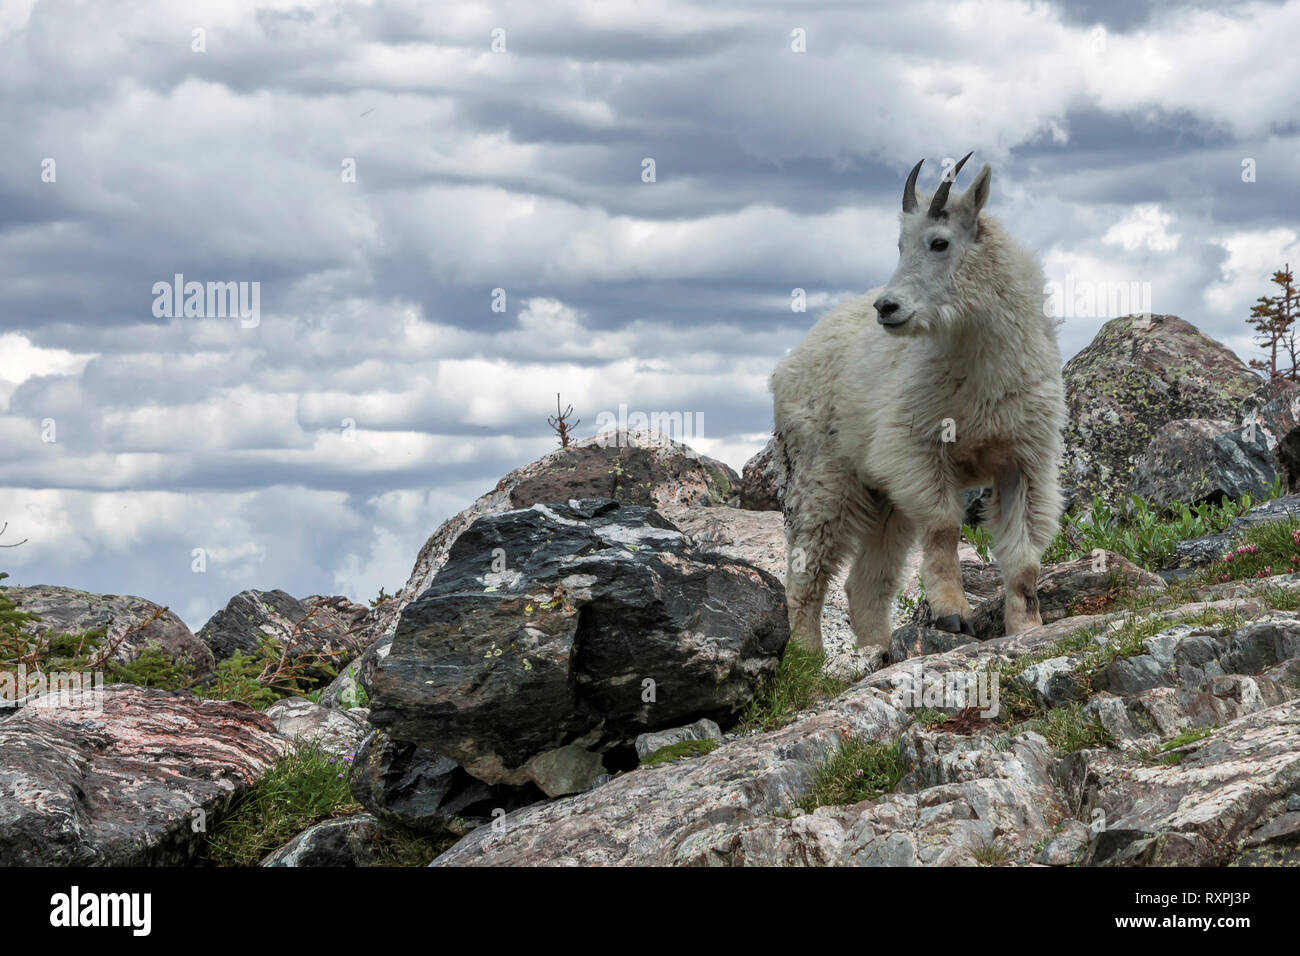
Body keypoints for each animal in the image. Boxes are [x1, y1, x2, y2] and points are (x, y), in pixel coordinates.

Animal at [769, 153, 1066, 655]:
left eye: (939, 242)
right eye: (899, 245)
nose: (886, 307)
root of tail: (786, 367)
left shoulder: (1024, 460)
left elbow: (1024, 556)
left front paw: (1026, 628)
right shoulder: (917, 448)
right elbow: (944, 526)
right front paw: (953, 614)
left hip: (882, 497)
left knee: (866, 581)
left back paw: (879, 649)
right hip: (823, 473)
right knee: (808, 568)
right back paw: (808, 654)